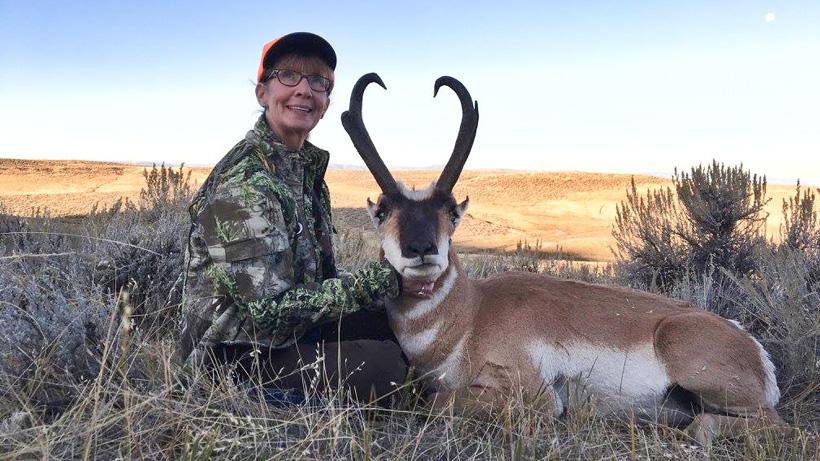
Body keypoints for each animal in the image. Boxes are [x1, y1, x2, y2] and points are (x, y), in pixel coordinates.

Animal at [341, 73, 786, 445]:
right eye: (383, 211)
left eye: (450, 211)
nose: (421, 249)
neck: (471, 314)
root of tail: (750, 344)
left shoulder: (535, 397)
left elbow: (434, 402)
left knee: (761, 424)